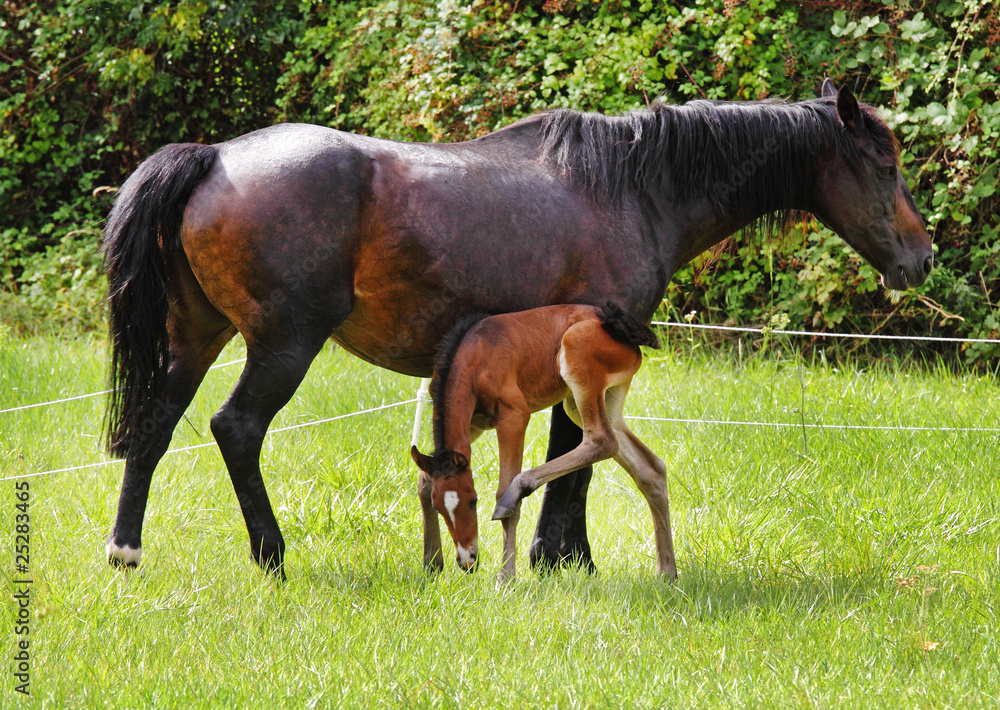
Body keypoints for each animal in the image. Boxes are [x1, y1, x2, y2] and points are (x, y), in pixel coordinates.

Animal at [410, 302, 674, 583]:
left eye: (473, 501)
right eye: (438, 508)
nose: (467, 561)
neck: (475, 356)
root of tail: (623, 329)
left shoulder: (514, 417)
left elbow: (503, 492)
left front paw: (506, 578)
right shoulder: (474, 425)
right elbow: (425, 480)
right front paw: (432, 563)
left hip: (577, 364)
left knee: (602, 440)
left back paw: (518, 491)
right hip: (591, 402)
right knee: (650, 468)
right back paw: (667, 572)